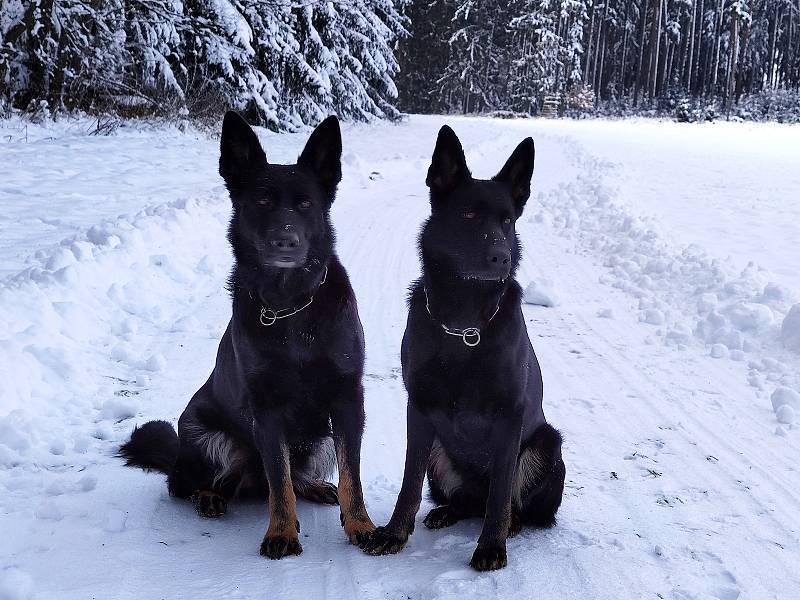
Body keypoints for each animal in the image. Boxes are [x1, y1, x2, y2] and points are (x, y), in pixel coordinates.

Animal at [119, 111, 376, 556]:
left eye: (305, 204)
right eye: (262, 202)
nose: (285, 241)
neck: (290, 307)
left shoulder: (346, 401)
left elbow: (351, 477)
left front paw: (360, 525)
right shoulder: (266, 411)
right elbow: (279, 481)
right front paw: (282, 533)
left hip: (320, 436)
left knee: (290, 478)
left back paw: (314, 486)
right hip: (205, 434)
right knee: (190, 484)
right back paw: (209, 495)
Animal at [366, 127, 564, 572]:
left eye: (507, 220)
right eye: (468, 215)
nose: (501, 258)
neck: (464, 325)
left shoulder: (510, 416)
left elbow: (501, 494)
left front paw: (491, 546)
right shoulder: (419, 409)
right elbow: (408, 483)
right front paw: (394, 534)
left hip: (547, 444)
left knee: (508, 503)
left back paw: (511, 525)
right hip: (440, 455)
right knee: (465, 501)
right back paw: (447, 511)